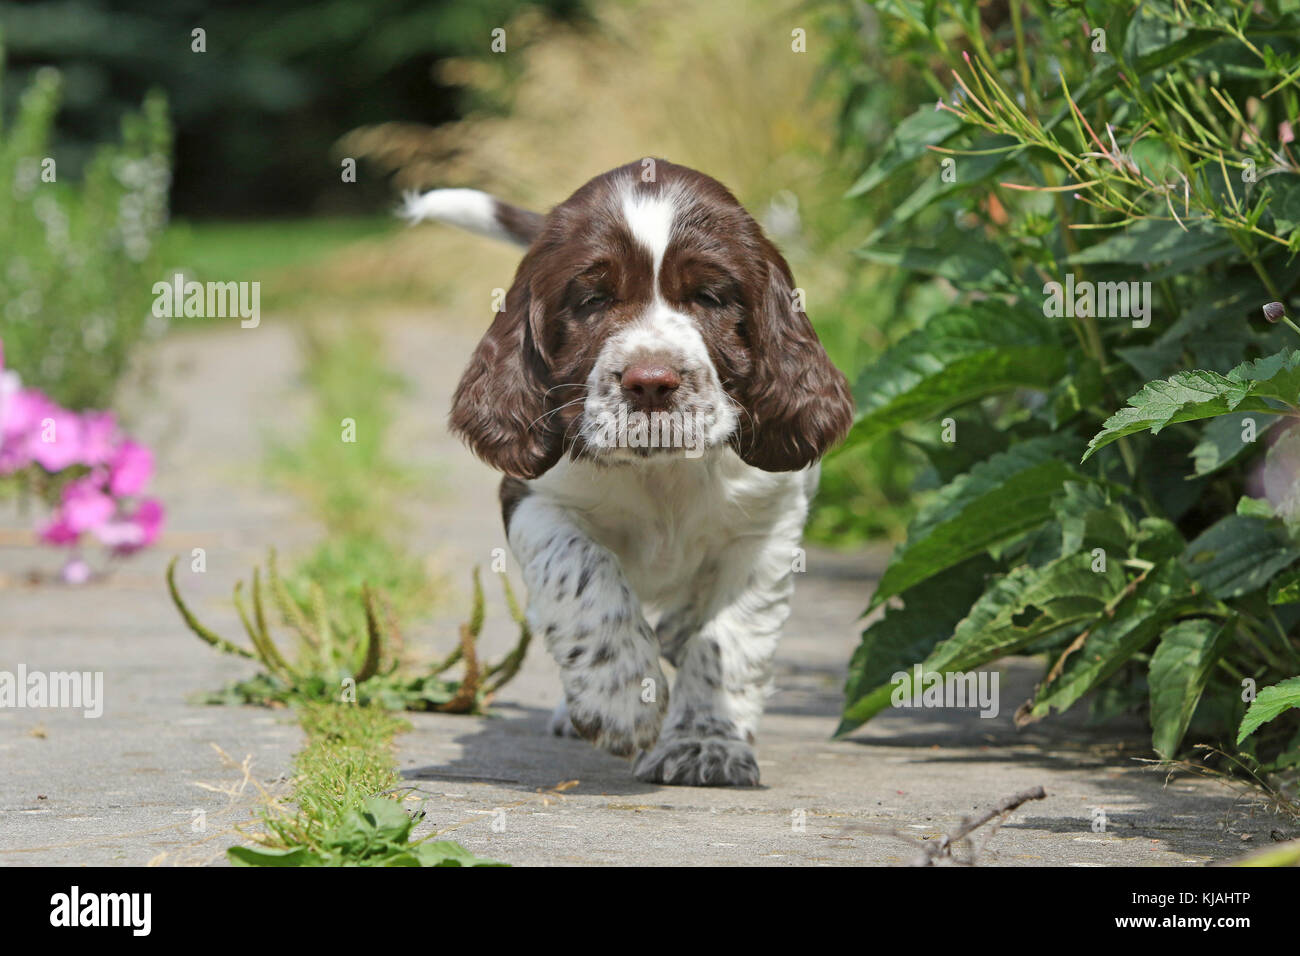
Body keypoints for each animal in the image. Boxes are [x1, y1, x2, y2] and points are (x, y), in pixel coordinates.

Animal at [403, 158, 852, 785]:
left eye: (710, 296)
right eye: (592, 299)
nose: (651, 382)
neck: (662, 473)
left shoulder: (770, 521)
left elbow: (730, 637)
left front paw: (707, 744)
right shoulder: (535, 498)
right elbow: (583, 575)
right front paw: (619, 700)